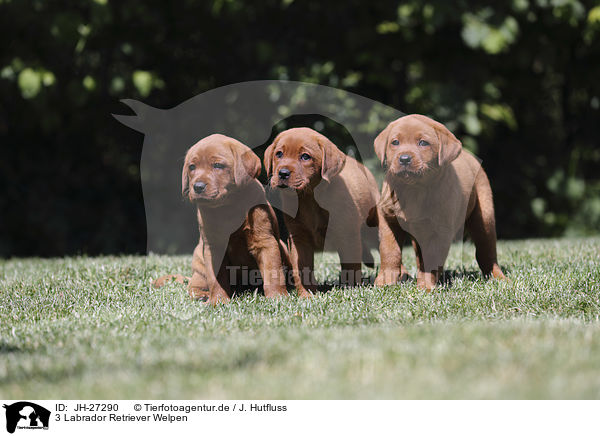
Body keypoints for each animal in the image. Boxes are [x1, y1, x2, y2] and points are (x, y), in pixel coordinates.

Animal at [179, 135, 290, 304]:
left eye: (218, 165)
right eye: (192, 167)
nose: (197, 187)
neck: (228, 206)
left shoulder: (266, 241)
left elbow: (273, 273)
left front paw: (277, 297)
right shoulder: (214, 247)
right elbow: (216, 278)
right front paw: (218, 301)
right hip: (199, 265)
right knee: (193, 285)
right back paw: (202, 295)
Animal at [264, 127, 378, 296]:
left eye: (305, 156)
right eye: (279, 154)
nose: (283, 173)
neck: (308, 198)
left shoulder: (347, 235)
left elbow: (351, 266)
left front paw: (351, 290)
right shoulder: (298, 238)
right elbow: (302, 270)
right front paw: (306, 295)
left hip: (373, 224)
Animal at [376, 114, 506, 290]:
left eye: (423, 143)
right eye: (395, 142)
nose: (404, 159)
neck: (414, 190)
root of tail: (468, 154)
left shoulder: (440, 231)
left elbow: (431, 260)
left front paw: (425, 286)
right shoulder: (388, 221)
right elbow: (389, 252)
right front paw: (386, 280)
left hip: (484, 218)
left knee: (486, 252)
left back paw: (499, 278)